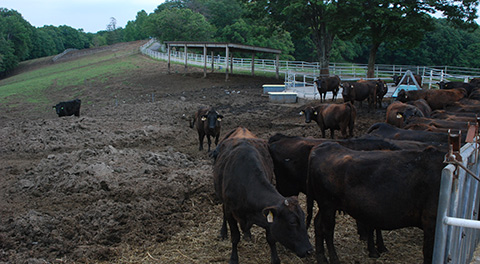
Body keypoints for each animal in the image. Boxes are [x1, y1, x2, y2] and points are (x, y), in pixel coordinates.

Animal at [213, 127, 312, 262]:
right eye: (292, 222)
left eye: (303, 218)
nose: (309, 250)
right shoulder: (230, 210)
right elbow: (235, 236)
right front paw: (233, 258)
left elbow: (271, 238)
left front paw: (275, 259)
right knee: (223, 213)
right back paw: (223, 232)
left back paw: (247, 234)